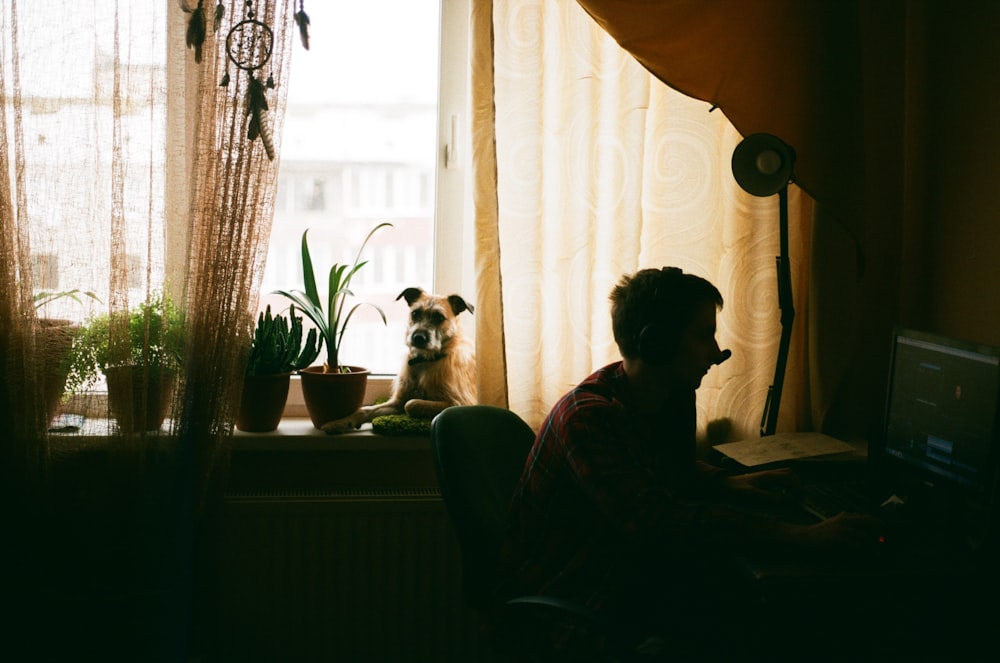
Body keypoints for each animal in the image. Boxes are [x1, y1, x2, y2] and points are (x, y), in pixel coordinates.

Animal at [320, 286, 476, 434]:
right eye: (415, 313)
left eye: (439, 317)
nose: (418, 337)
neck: (424, 361)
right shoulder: (396, 402)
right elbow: (365, 410)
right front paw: (339, 422)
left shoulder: (460, 403)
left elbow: (411, 403)